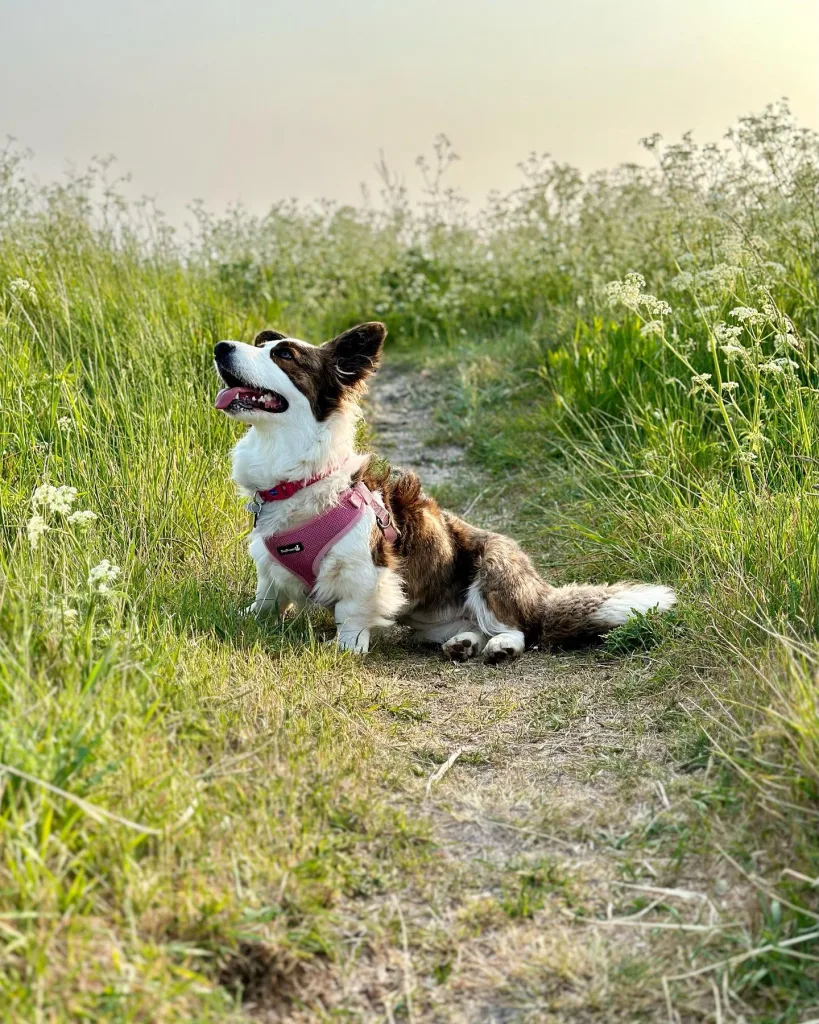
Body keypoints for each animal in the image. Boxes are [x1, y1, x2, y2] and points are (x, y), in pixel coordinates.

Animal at [213, 325, 675, 663]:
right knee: (474, 629)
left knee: (521, 629)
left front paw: (345, 648)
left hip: (492, 569)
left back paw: (500, 647)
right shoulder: (269, 569)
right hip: (433, 622)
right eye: (259, 344)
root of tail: (540, 593)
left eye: (284, 355)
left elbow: (352, 613)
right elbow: (266, 599)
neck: (297, 475)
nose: (220, 347)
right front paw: (243, 619)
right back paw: (465, 643)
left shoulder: (367, 570)